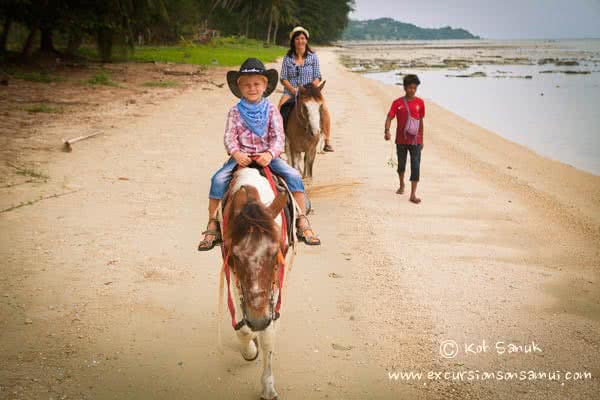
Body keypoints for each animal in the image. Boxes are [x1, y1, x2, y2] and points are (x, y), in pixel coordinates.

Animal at [218, 167, 290, 398]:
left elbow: (268, 334)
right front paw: (249, 350)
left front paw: (267, 386)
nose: (258, 320)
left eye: (276, 252)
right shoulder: (232, 274)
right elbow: (243, 329)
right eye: (235, 255)